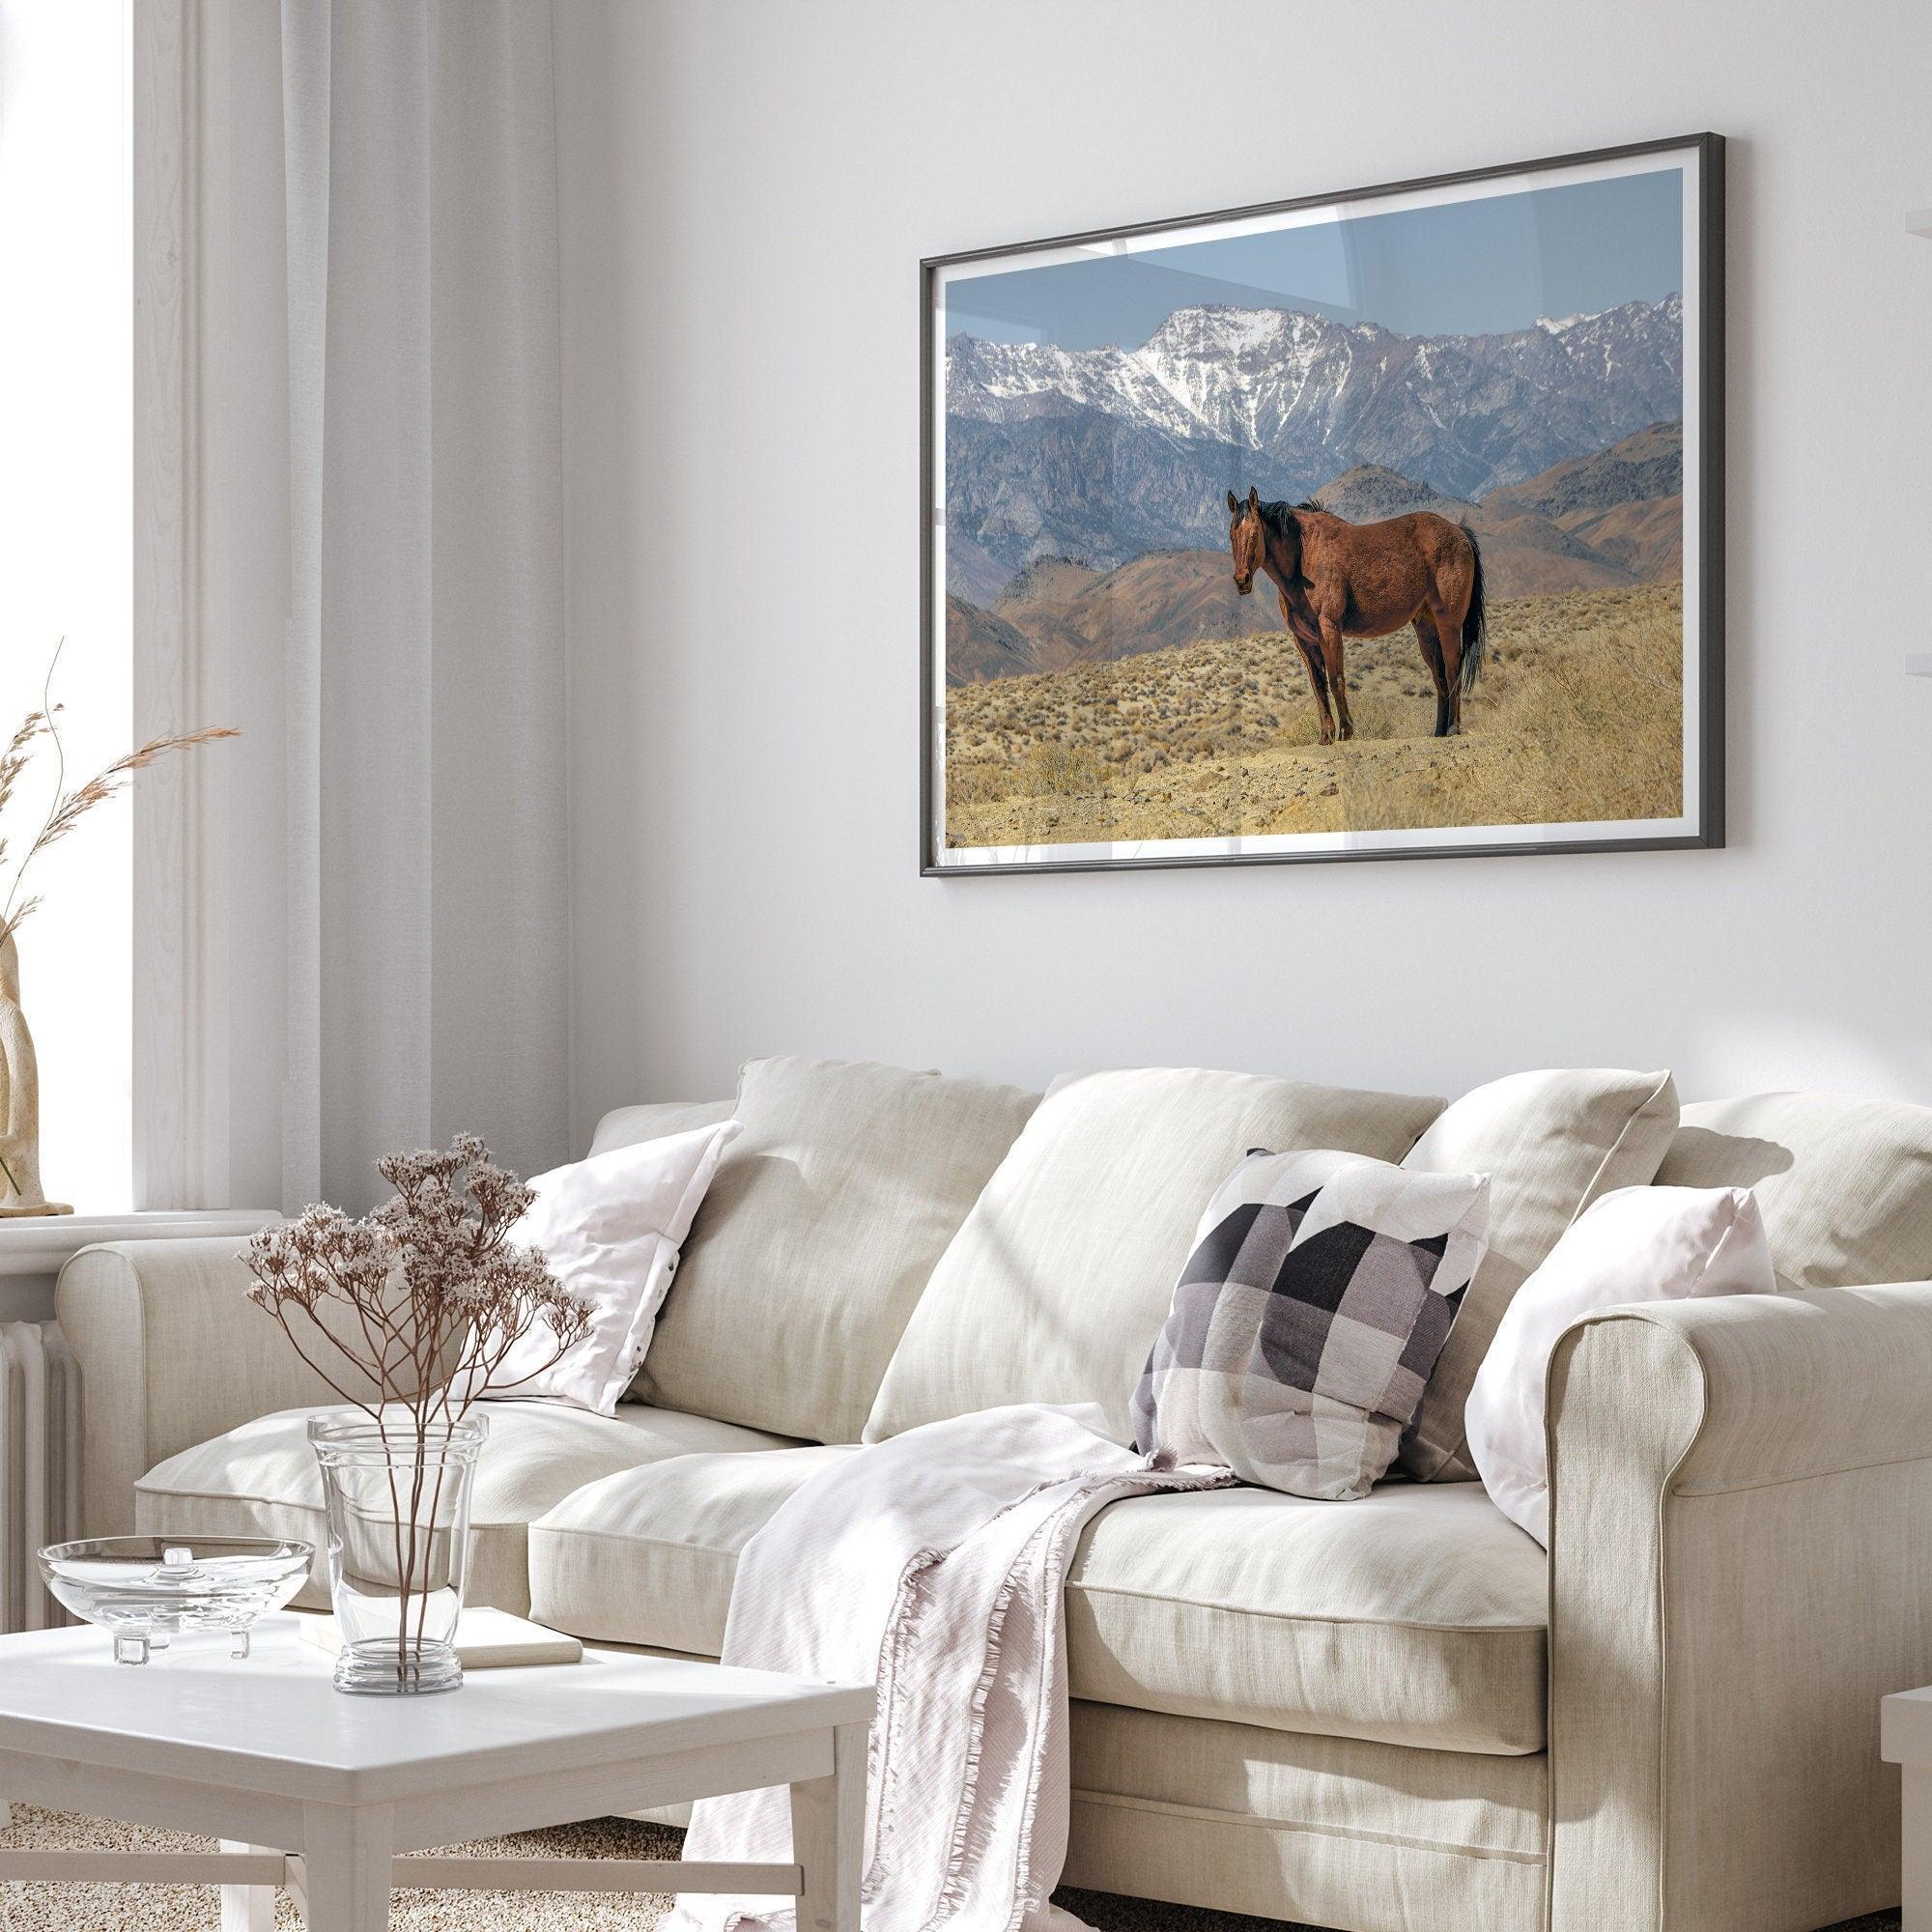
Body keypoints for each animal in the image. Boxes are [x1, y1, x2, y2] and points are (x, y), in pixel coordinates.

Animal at [1229, 487, 1484, 742]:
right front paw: (1326, 736)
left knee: (1452, 671)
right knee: (1439, 676)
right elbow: (1318, 685)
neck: (1305, 556)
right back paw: (1439, 731)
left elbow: (1336, 680)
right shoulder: (1303, 639)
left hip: (1449, 624)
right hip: (1426, 628)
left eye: (1254, 534)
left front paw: (1345, 732)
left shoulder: (1329, 630)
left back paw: (1453, 728)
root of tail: (1459, 532)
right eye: (1232, 536)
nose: (1241, 581)